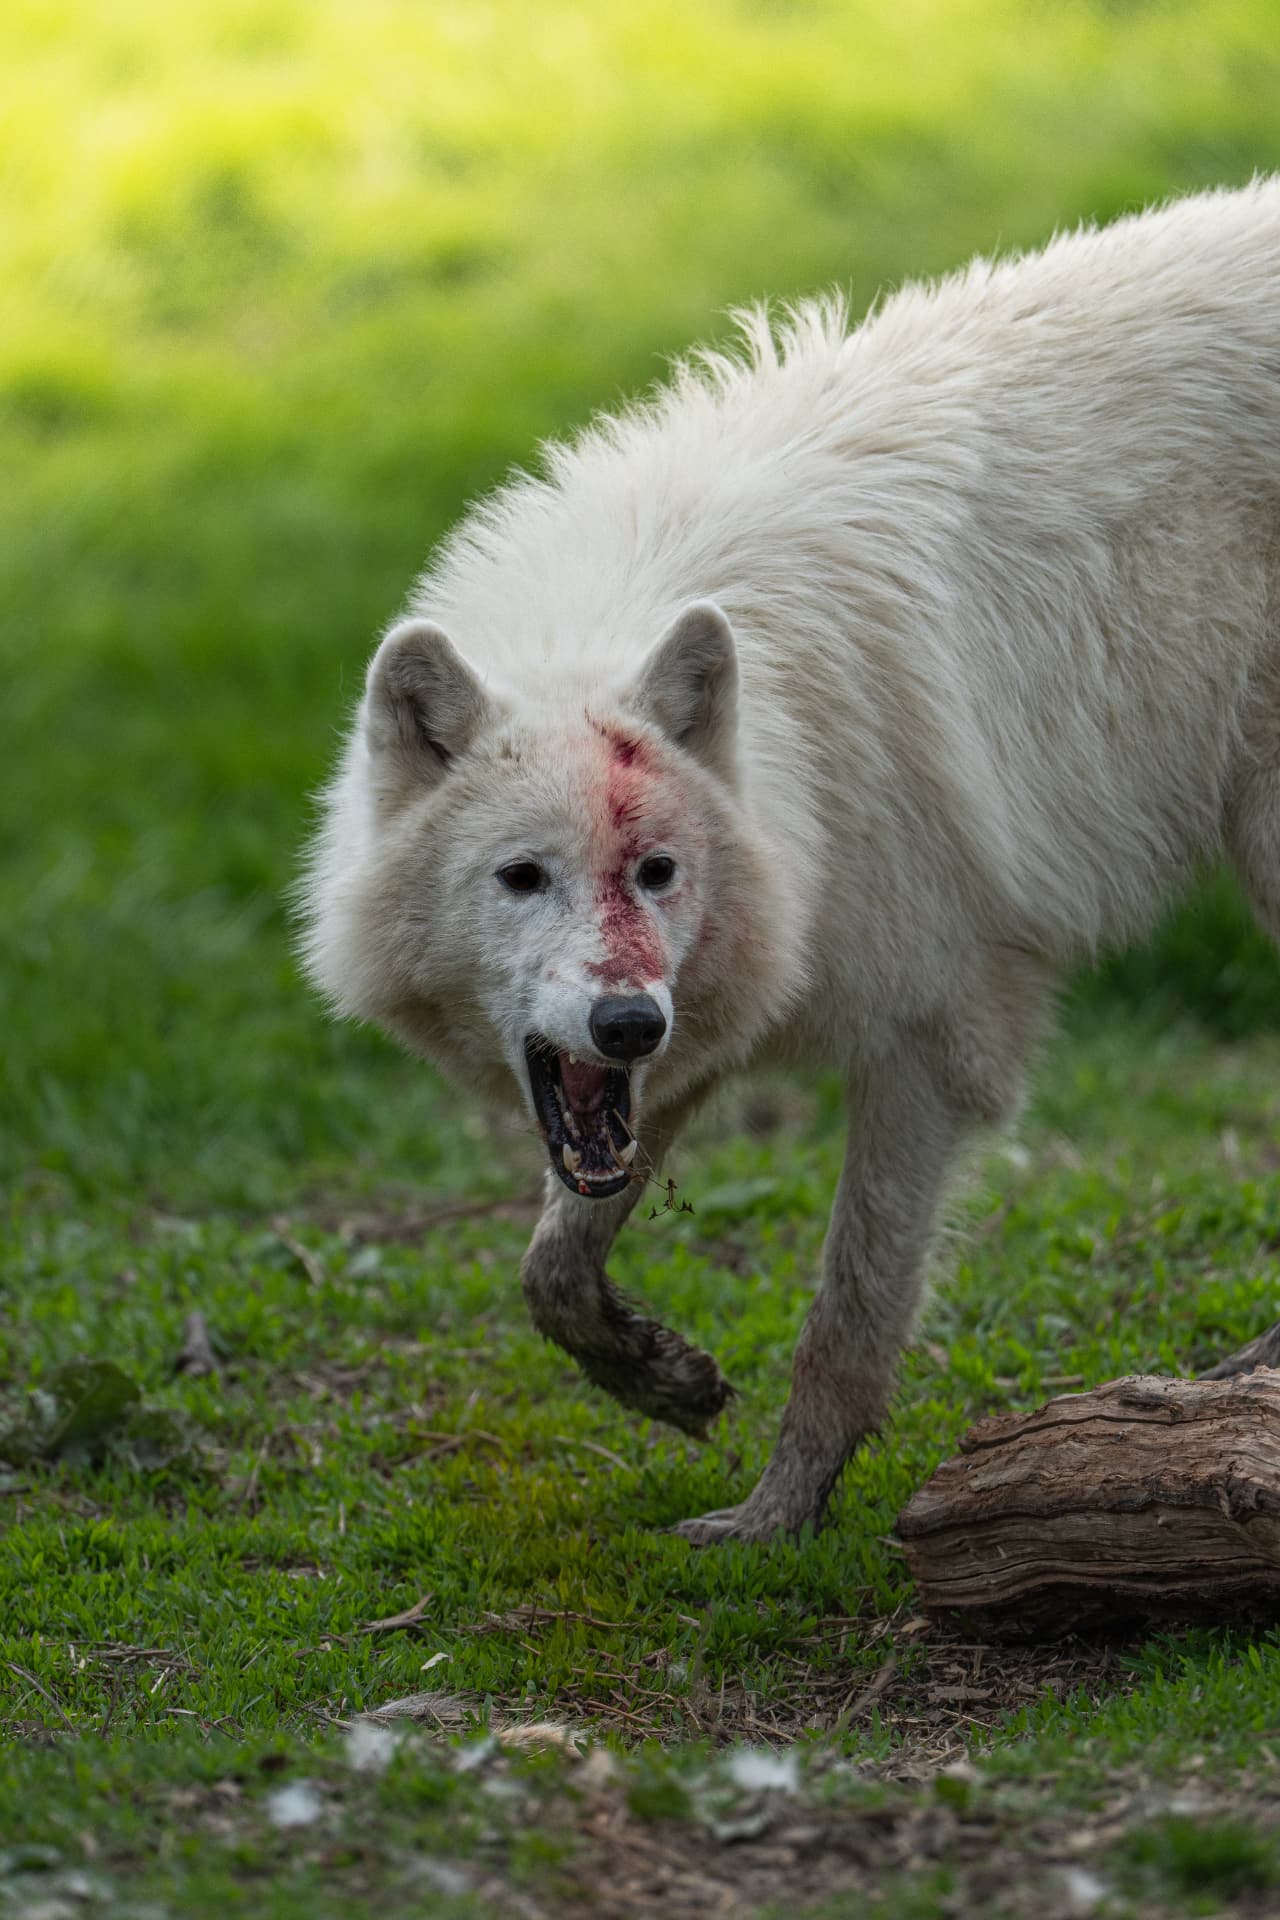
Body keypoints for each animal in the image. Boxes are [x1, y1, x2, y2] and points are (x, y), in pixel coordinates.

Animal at [301, 180, 1280, 1543]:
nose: (625, 1022)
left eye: (657, 871)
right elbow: (549, 1264)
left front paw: (774, 1520)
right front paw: (658, 1376)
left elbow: (846, 1318)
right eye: (521, 876)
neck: (792, 770)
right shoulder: (695, 1032)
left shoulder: (932, 1038)